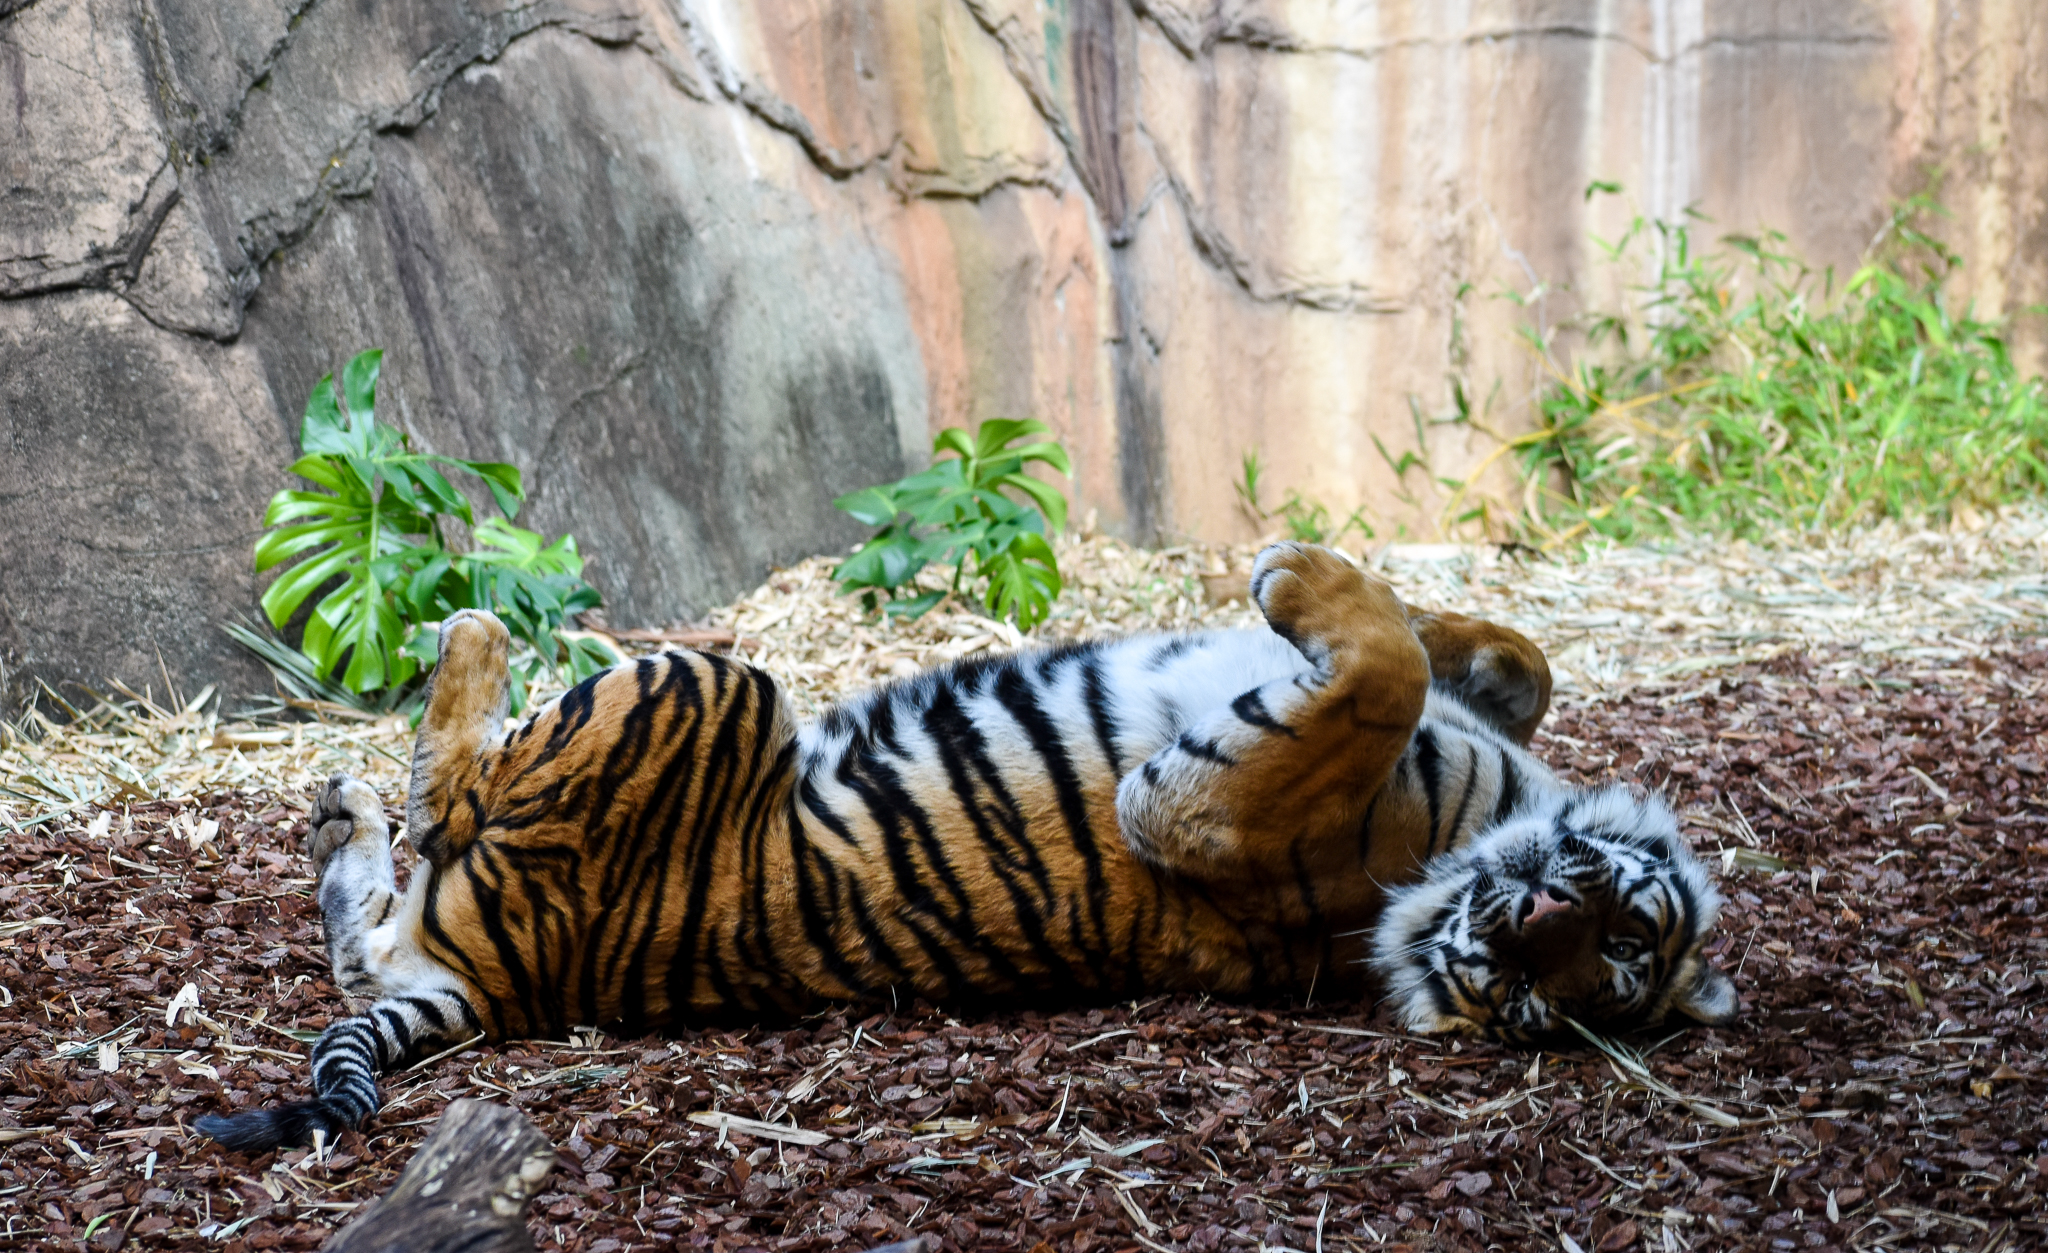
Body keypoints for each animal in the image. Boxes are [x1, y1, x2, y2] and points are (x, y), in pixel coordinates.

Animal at [196, 541, 1734, 1152]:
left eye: (1589, 974)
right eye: (1617, 933)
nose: (1529, 927)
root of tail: (507, 987)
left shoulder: (1208, 809)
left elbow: (1378, 674)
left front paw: (1300, 577)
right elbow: (1488, 660)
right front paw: (1441, 619)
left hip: (706, 685)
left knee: (450, 787)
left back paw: (463, 634)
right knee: (370, 912)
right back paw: (342, 801)